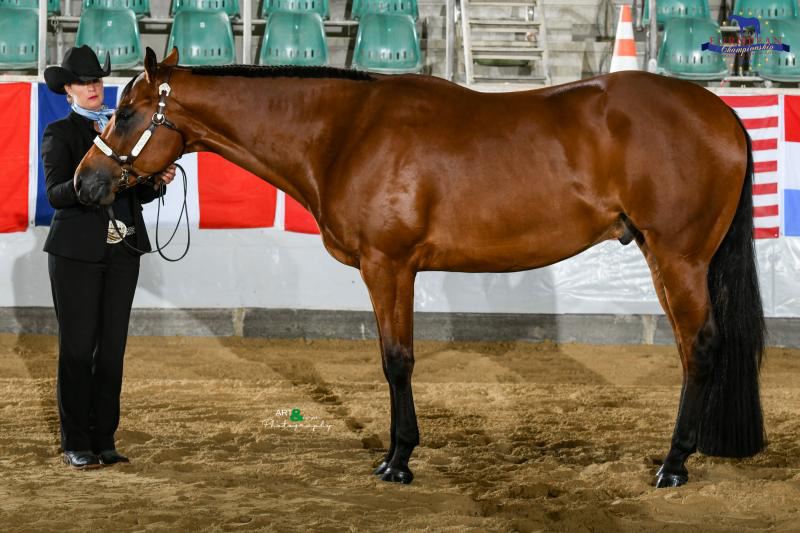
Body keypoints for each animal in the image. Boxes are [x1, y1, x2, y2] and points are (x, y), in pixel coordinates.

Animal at [76, 47, 768, 488]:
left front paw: (398, 460)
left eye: (127, 112)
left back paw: (674, 464)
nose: (85, 182)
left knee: (700, 347)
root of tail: (724, 114)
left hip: (677, 257)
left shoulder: (388, 266)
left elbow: (396, 360)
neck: (345, 132)